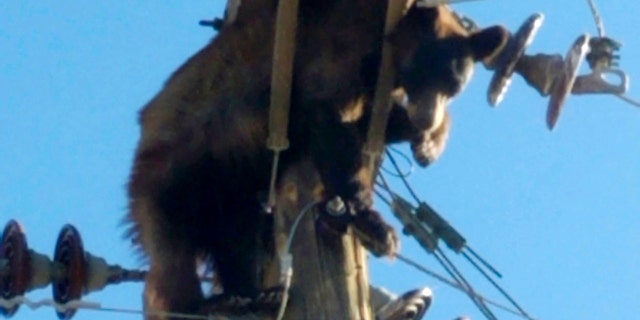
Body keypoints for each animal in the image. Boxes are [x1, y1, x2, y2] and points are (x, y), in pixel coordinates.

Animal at [124, 1, 504, 318]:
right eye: (425, 73)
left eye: (453, 86)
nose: (426, 119)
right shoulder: (339, 46)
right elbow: (328, 115)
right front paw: (372, 221)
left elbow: (370, 122)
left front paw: (429, 142)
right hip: (172, 177)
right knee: (173, 256)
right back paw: (198, 304)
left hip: (228, 189)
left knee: (238, 237)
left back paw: (250, 296)